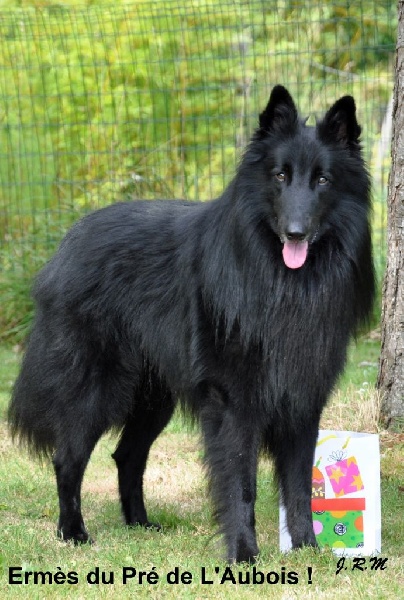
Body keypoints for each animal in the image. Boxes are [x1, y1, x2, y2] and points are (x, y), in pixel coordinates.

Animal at [7, 85, 374, 564]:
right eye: (279, 176)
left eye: (323, 181)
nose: (295, 233)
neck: (280, 282)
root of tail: (68, 243)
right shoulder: (235, 405)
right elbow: (241, 486)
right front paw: (244, 554)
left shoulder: (302, 400)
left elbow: (297, 486)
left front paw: (308, 550)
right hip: (96, 389)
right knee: (67, 458)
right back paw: (73, 532)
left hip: (153, 398)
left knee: (127, 455)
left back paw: (139, 524)